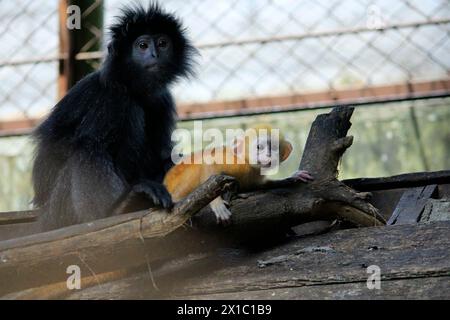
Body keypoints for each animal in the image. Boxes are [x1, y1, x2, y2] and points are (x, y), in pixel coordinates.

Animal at [32, 3, 198, 231]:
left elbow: (164, 153)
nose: (154, 54)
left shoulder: (162, 99)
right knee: (89, 146)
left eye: (163, 43)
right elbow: (89, 144)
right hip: (59, 210)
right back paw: (119, 207)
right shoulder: (111, 96)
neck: (131, 87)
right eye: (142, 45)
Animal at [163, 124, 312, 224]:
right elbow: (209, 165)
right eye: (259, 147)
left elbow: (258, 185)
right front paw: (216, 203)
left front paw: (292, 177)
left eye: (274, 148)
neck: (247, 162)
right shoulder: (235, 162)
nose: (269, 155)